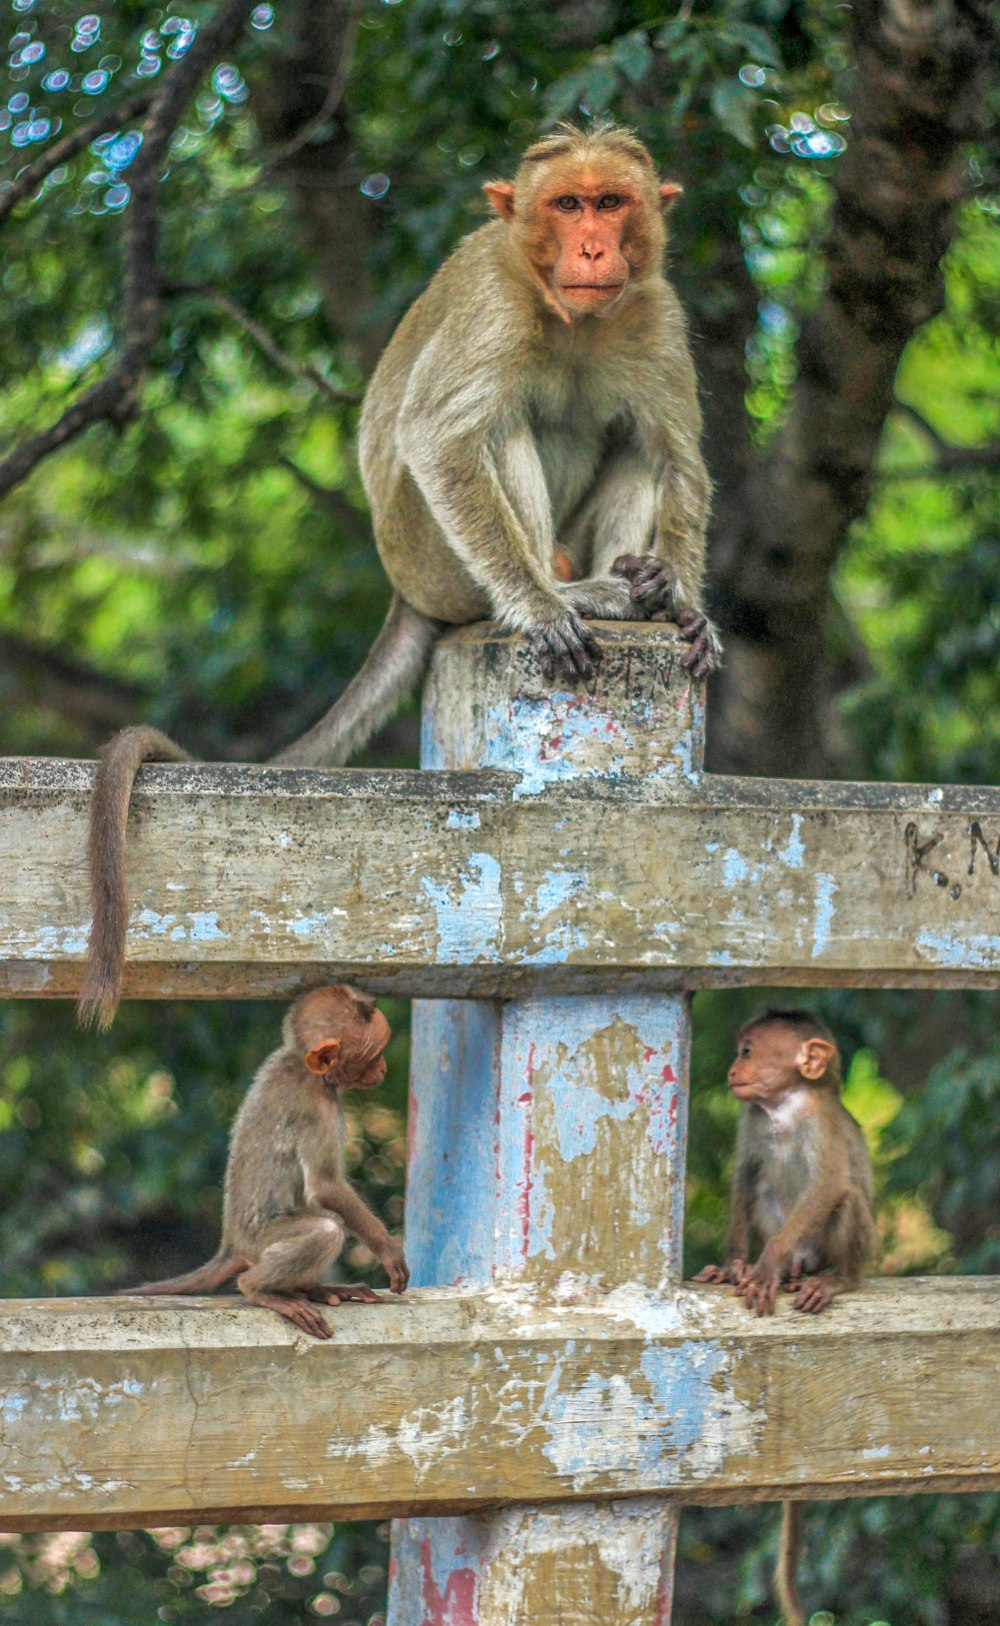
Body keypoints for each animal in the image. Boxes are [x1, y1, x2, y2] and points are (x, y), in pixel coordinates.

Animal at [80, 123, 718, 1027]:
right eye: (567, 203)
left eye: (611, 201)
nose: (594, 246)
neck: (571, 318)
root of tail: (403, 588)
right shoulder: (493, 307)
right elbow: (440, 439)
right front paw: (538, 609)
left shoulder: (655, 312)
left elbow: (677, 459)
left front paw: (689, 608)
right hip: (431, 556)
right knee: (493, 428)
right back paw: (568, 592)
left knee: (630, 439)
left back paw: (639, 587)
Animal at [120, 982, 406, 1339]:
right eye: (375, 1055)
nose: (384, 1069)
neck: (304, 1068)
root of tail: (233, 1244)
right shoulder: (315, 1109)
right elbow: (325, 1187)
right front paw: (388, 1250)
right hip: (259, 1243)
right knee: (325, 1229)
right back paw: (258, 1288)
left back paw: (312, 1288)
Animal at [695, 1008, 878, 1626]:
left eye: (749, 1051)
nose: (733, 1071)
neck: (785, 1107)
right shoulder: (753, 1121)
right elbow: (743, 1179)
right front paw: (734, 1265)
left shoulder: (819, 1122)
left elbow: (827, 1186)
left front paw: (765, 1266)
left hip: (844, 1248)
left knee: (846, 1198)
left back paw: (826, 1278)